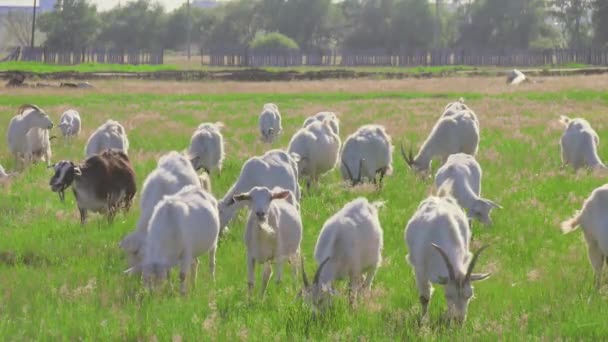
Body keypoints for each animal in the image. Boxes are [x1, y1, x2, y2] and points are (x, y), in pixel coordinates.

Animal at [406, 195, 492, 324]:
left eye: (469, 295)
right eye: (448, 295)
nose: (459, 321)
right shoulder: (420, 270)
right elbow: (424, 298)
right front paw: (423, 321)